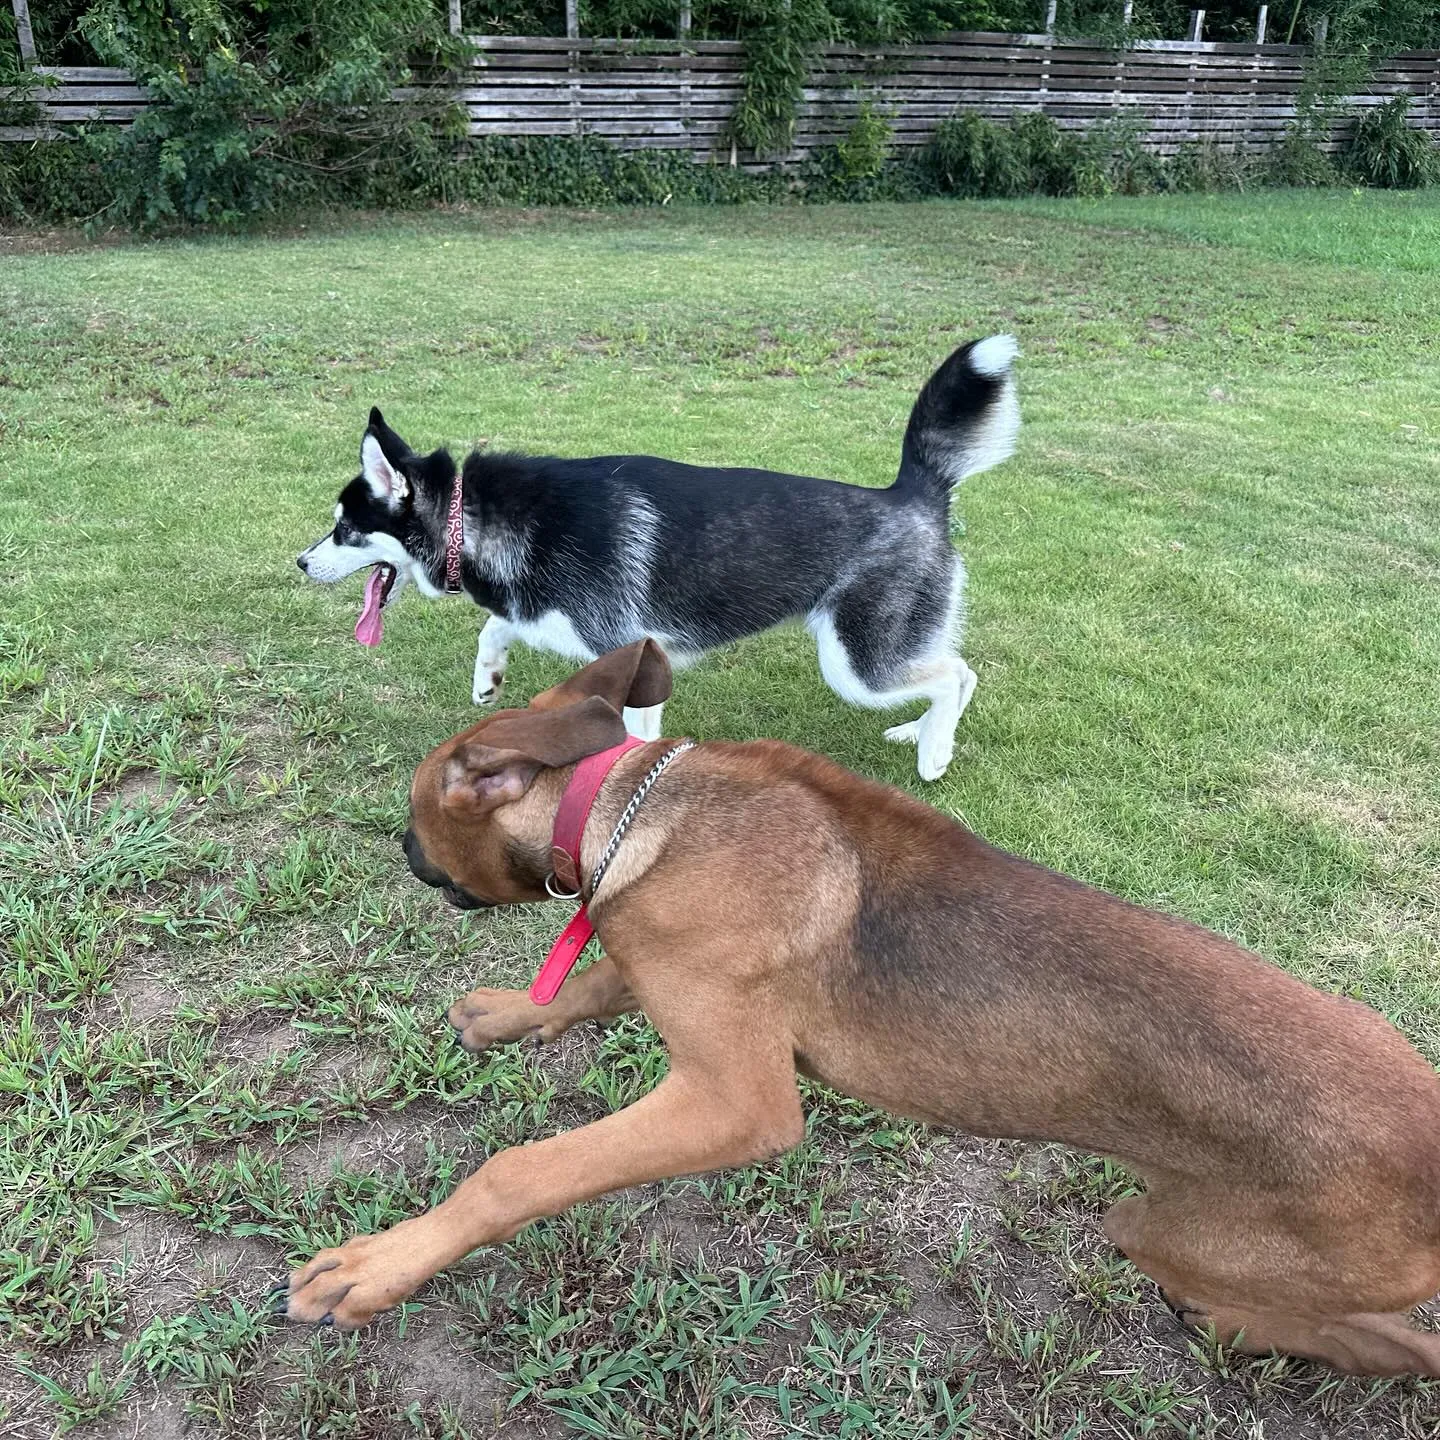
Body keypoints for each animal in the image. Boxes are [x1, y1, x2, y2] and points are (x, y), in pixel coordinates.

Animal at [280, 642, 1440, 1370]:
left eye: (419, 811)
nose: (401, 847)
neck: (633, 806)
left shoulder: (735, 1103)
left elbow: (516, 1171)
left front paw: (378, 1267)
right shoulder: (670, 971)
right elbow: (601, 978)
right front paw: (509, 1017)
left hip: (1175, 1230)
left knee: (1384, 1341)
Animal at [300, 332, 1025, 783]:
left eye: (344, 529)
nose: (301, 564)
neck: (468, 517)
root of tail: (913, 490)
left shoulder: (631, 651)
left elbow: (632, 742)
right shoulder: (547, 616)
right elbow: (495, 626)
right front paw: (488, 677)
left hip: (856, 666)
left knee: (956, 674)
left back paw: (933, 752)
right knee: (956, 673)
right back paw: (920, 733)